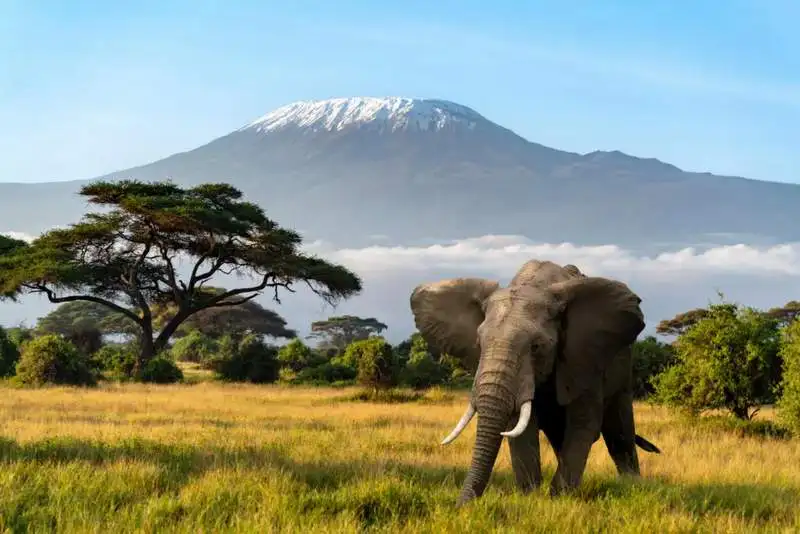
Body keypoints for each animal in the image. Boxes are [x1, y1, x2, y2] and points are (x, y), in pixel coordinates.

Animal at [409, 259, 661, 506]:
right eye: (479, 344)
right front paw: (530, 498)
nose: (461, 507)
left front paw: (559, 500)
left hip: (622, 367)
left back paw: (631, 485)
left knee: (620, 433)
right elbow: (520, 429)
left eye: (536, 347)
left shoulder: (583, 359)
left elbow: (583, 424)